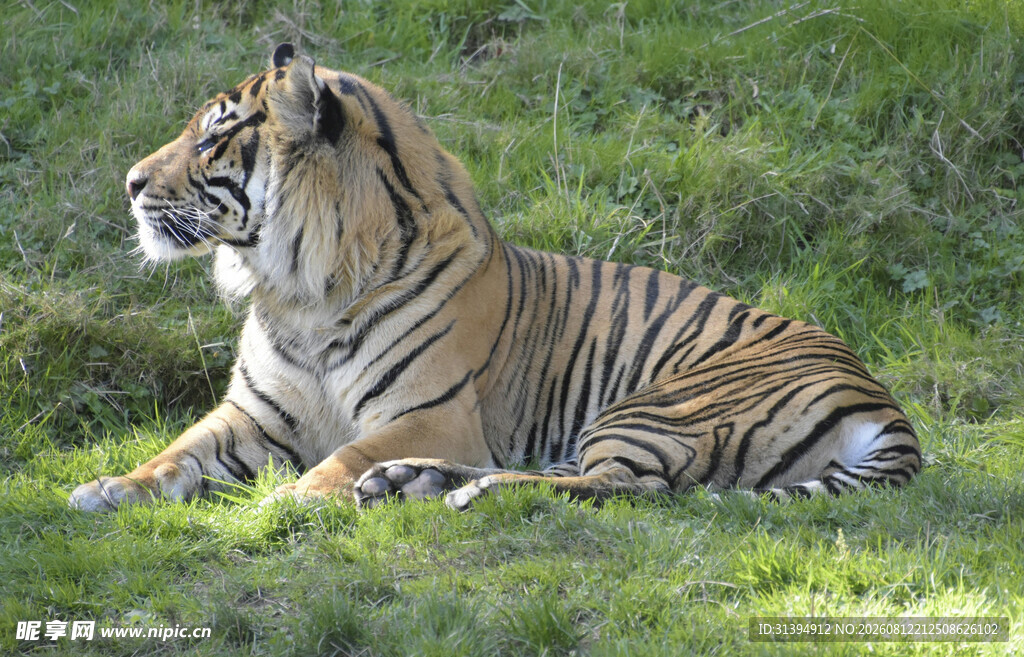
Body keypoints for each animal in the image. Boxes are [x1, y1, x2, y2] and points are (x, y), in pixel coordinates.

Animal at [69, 43, 920, 513]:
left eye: (212, 137)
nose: (129, 182)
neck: (299, 291)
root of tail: (880, 396)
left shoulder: (433, 410)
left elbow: (344, 454)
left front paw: (295, 497)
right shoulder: (254, 413)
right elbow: (176, 452)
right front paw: (106, 487)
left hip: (658, 407)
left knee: (628, 487)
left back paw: (449, 489)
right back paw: (410, 482)